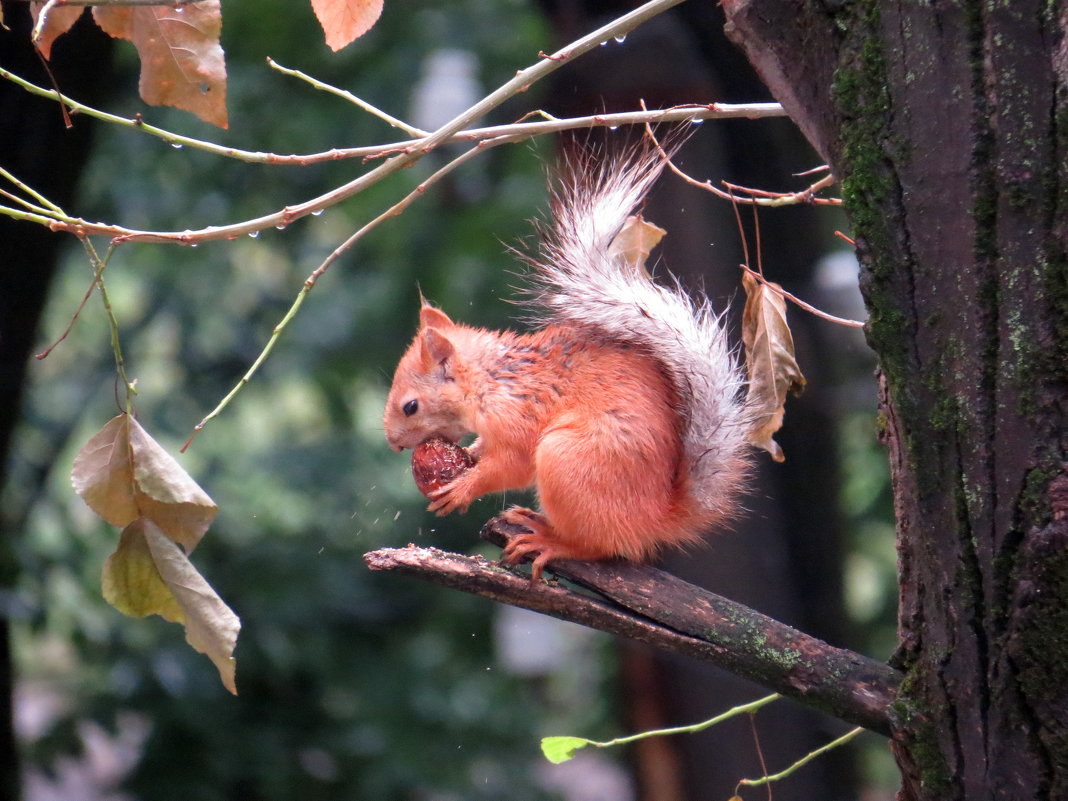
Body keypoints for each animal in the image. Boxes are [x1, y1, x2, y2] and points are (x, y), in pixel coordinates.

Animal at [384, 146, 751, 585]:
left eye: (410, 406)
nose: (393, 444)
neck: (492, 381)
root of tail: (657, 518)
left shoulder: (518, 416)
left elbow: (512, 465)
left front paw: (465, 486)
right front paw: (470, 453)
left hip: (568, 461)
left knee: (601, 545)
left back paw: (551, 540)